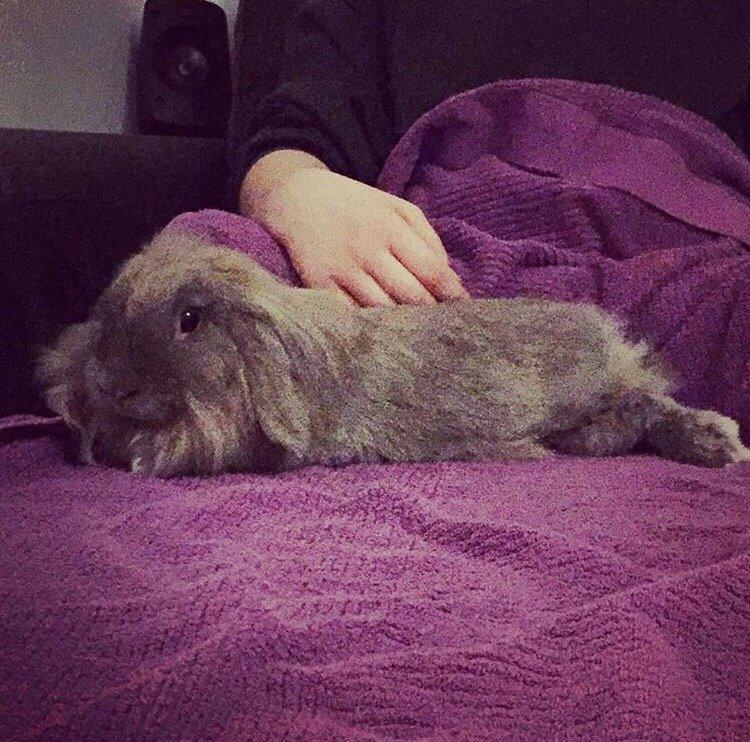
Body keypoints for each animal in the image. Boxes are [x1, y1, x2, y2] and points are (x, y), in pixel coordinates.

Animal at [36, 229, 750, 478]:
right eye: (108, 306)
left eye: (189, 319)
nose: (111, 384)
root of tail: (612, 338)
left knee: (649, 408)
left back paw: (724, 445)